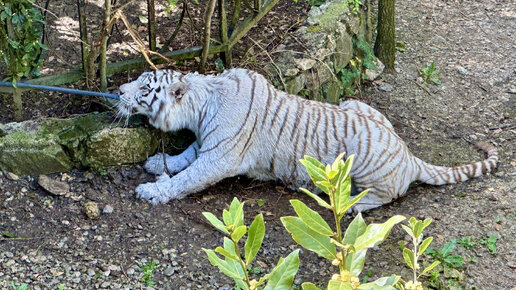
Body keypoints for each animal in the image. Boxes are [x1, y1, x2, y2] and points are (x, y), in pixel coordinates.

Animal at [116, 68, 496, 213]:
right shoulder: (208, 143)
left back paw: (351, 203)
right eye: (138, 79)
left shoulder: (220, 157)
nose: (118, 90)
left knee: (387, 195)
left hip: (365, 162)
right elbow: (185, 156)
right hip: (354, 104)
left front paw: (153, 190)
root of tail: (408, 154)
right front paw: (159, 163)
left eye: (144, 87)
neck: (204, 101)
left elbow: (187, 177)